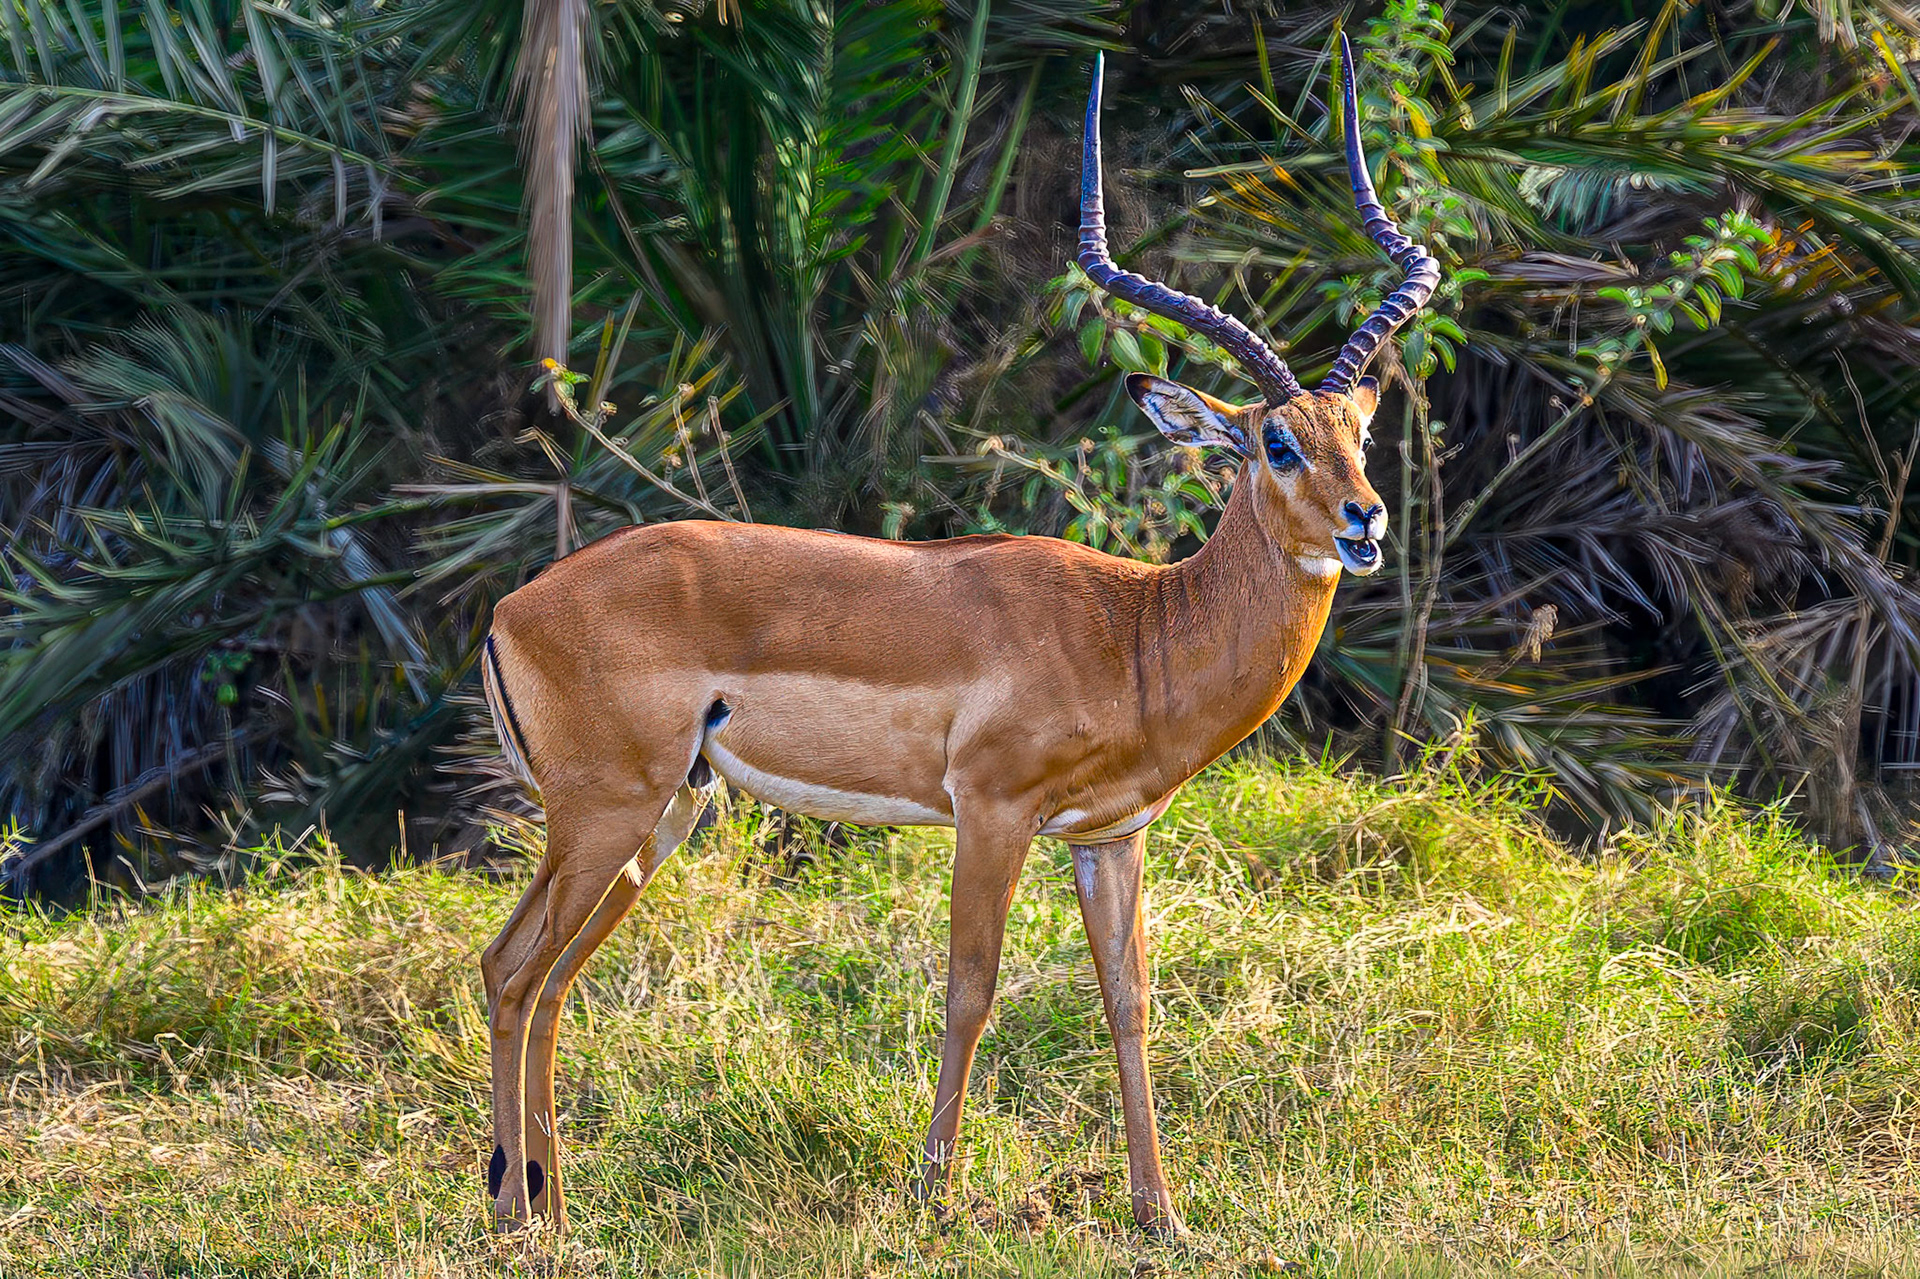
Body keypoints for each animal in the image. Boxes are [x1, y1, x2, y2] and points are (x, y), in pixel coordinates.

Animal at [478, 36, 1438, 1237]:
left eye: (1356, 428)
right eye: (1275, 442)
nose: (1367, 521)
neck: (1134, 627)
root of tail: (511, 609)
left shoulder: (1109, 834)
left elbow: (1129, 1001)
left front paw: (1160, 1213)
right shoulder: (990, 810)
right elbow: (969, 986)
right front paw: (935, 1193)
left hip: (663, 814)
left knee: (543, 976)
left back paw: (551, 1208)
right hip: (607, 812)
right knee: (513, 969)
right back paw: (516, 1218)